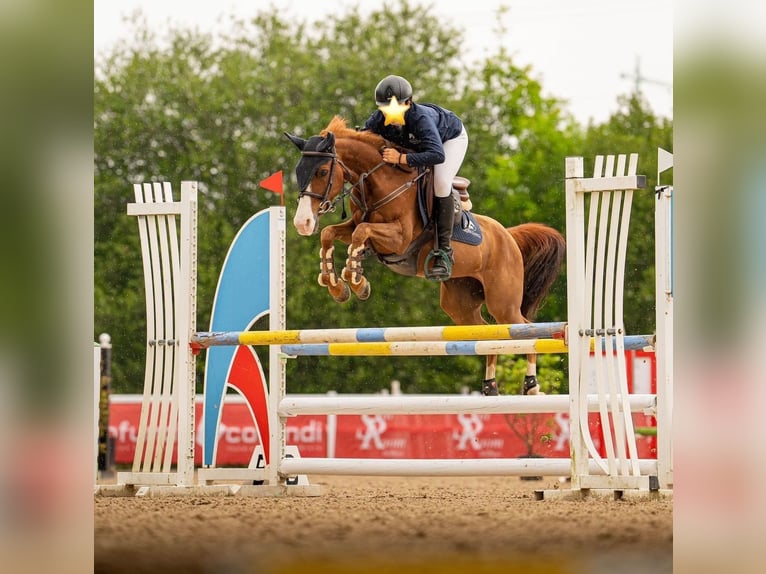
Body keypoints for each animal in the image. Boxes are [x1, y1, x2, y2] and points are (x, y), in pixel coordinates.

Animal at [284, 116, 568, 396]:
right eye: (298, 171)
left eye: (322, 172)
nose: (302, 222)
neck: (381, 182)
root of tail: (508, 236)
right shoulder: (355, 224)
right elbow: (330, 233)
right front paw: (336, 285)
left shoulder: (400, 238)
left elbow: (360, 232)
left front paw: (356, 280)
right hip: (460, 304)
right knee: (489, 333)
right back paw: (490, 386)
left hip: (503, 302)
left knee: (524, 327)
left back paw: (531, 384)